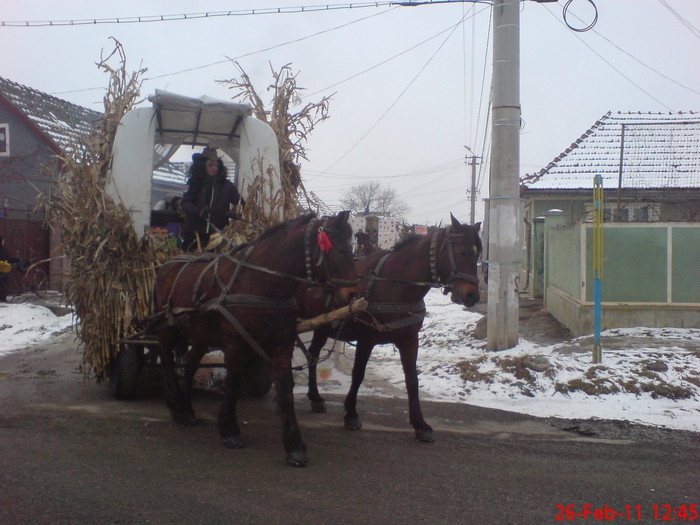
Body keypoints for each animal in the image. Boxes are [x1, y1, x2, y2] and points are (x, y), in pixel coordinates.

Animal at [152, 211, 356, 464]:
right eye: (340, 250)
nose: (353, 294)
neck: (260, 283)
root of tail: (166, 264)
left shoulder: (282, 346)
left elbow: (286, 391)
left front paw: (294, 444)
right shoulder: (234, 345)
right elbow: (232, 383)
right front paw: (230, 430)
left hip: (201, 335)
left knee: (189, 366)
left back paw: (187, 409)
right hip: (166, 328)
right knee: (168, 363)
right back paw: (175, 406)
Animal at [296, 213, 482, 442]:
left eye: (478, 254)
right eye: (463, 252)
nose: (472, 296)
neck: (395, 284)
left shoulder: (409, 339)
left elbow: (412, 379)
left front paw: (420, 424)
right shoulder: (366, 339)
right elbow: (358, 373)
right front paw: (351, 413)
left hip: (322, 327)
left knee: (312, 355)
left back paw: (315, 397)